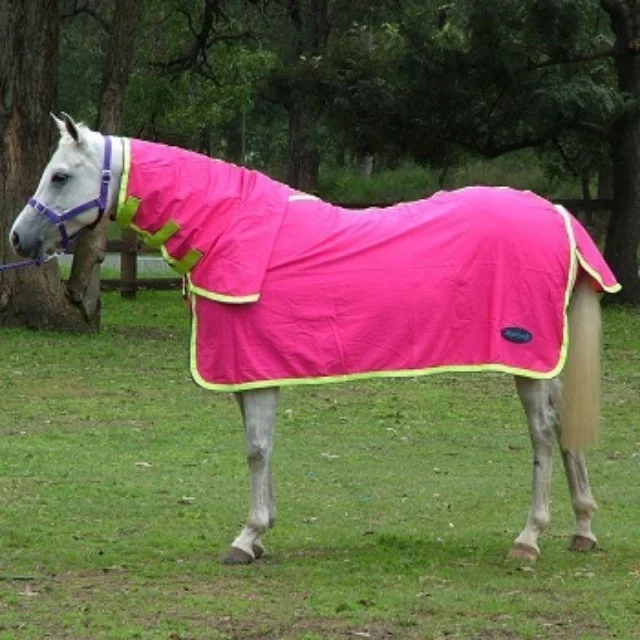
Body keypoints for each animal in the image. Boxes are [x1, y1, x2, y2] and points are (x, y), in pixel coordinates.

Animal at [10, 113, 620, 565]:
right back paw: (582, 529)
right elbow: (260, 448)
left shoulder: (255, 371)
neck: (226, 229)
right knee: (563, 427)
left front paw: (246, 538)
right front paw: (261, 534)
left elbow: (256, 449)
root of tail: (558, 212)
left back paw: (529, 539)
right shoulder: (249, 368)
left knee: (543, 434)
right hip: (543, 360)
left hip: (526, 357)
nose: (18, 238)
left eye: (60, 176)